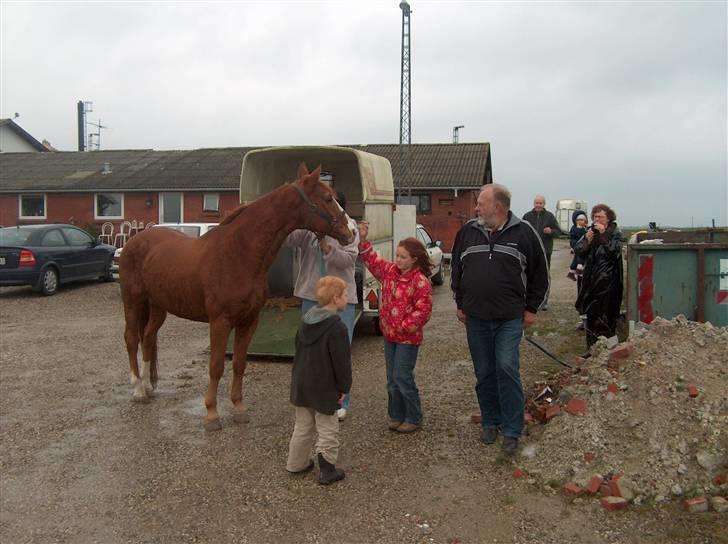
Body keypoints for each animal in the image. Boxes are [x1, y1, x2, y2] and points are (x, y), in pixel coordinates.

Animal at [119, 162, 352, 430]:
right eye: (327, 198)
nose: (350, 233)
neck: (238, 254)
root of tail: (134, 240)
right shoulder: (220, 322)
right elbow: (216, 366)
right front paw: (211, 414)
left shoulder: (249, 321)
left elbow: (240, 364)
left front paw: (239, 408)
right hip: (132, 302)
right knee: (131, 339)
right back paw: (138, 389)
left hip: (157, 307)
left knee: (147, 338)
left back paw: (148, 386)